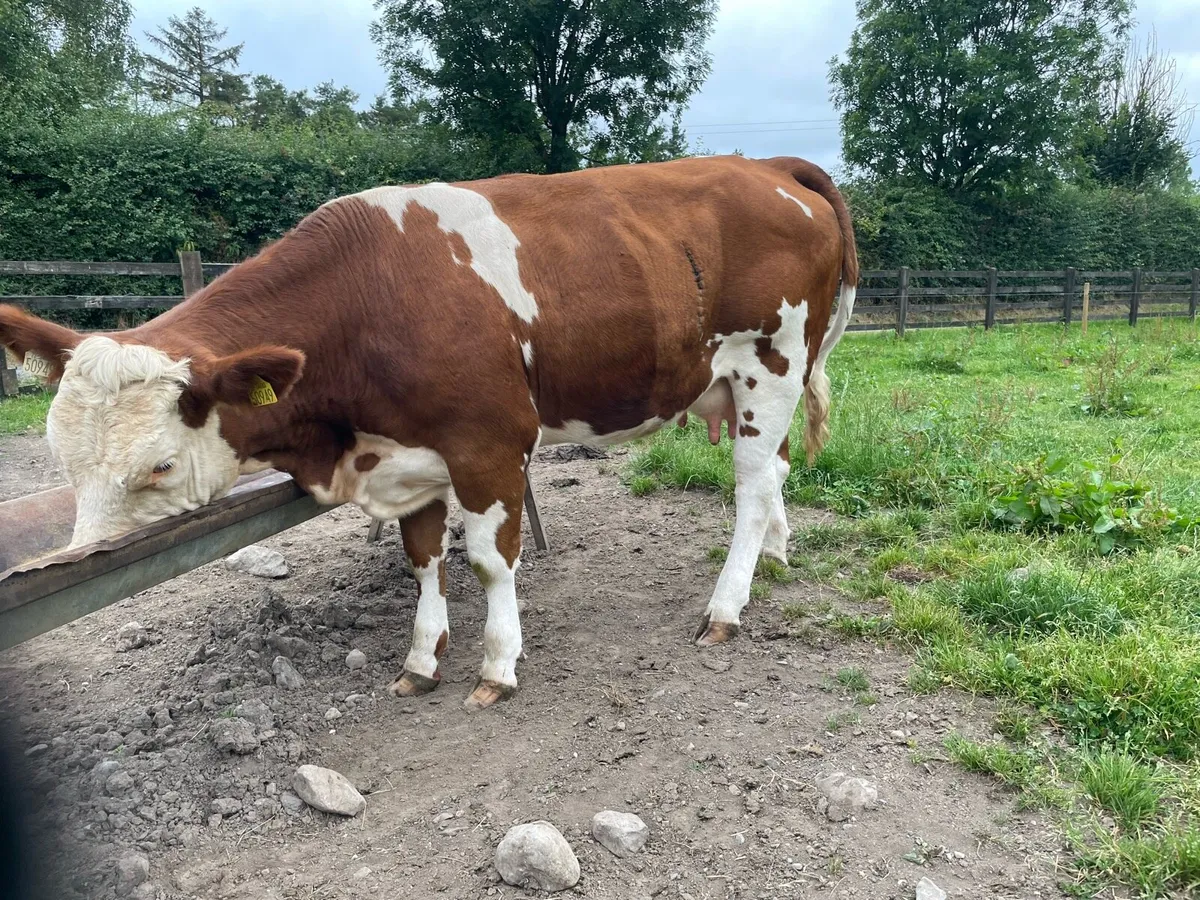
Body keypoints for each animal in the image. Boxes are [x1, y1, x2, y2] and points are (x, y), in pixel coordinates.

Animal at [0, 154, 857, 710]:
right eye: (62, 458)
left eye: (159, 468)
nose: (83, 560)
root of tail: (768, 166)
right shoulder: (406, 457)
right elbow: (422, 559)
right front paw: (421, 658)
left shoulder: (490, 440)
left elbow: (487, 560)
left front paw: (497, 666)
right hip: (748, 386)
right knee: (777, 473)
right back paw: (775, 556)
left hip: (770, 367)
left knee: (751, 488)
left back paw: (726, 606)